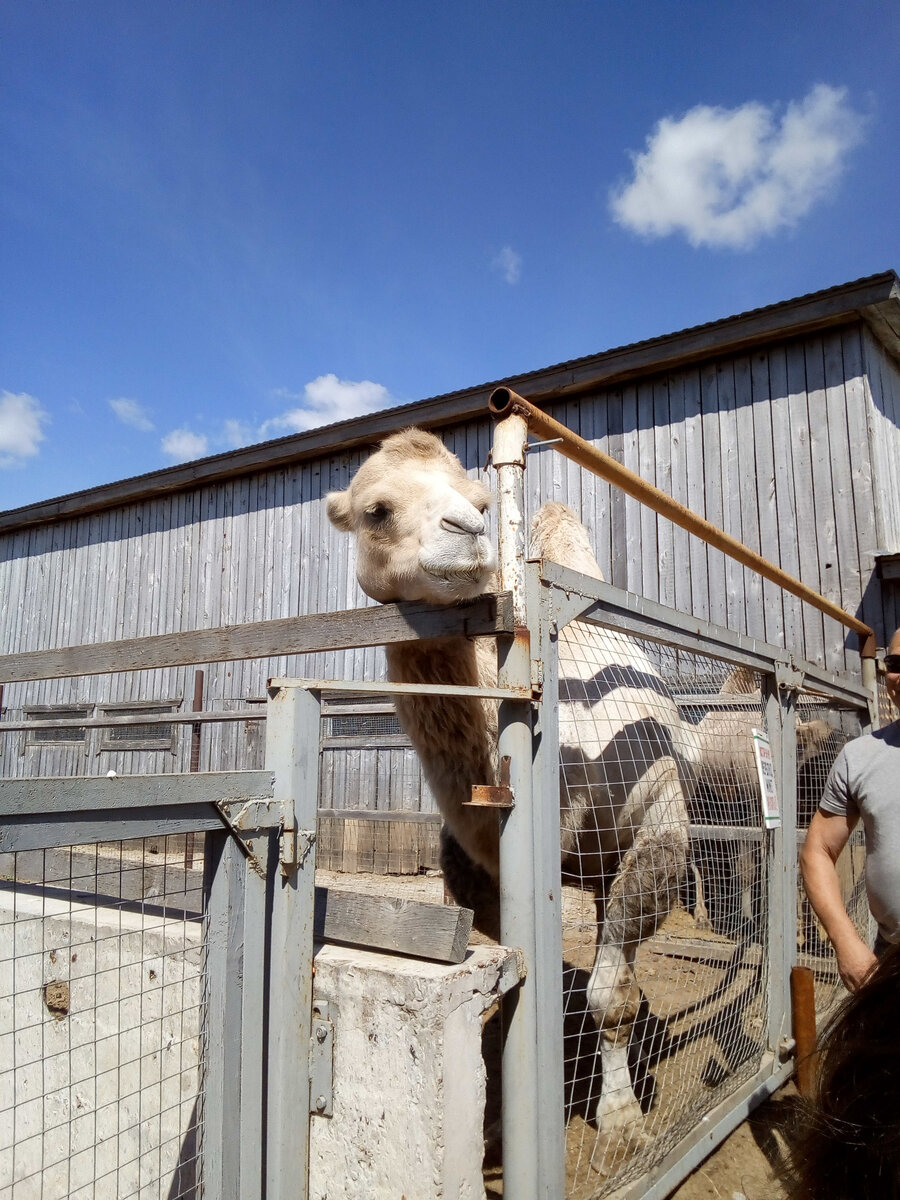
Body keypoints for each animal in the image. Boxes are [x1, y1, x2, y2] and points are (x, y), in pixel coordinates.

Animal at [328, 432, 705, 1132]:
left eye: (482, 502)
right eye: (376, 510)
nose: (469, 532)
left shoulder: (656, 823)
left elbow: (611, 993)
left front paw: (620, 1120)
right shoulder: (475, 863)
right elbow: (521, 973)